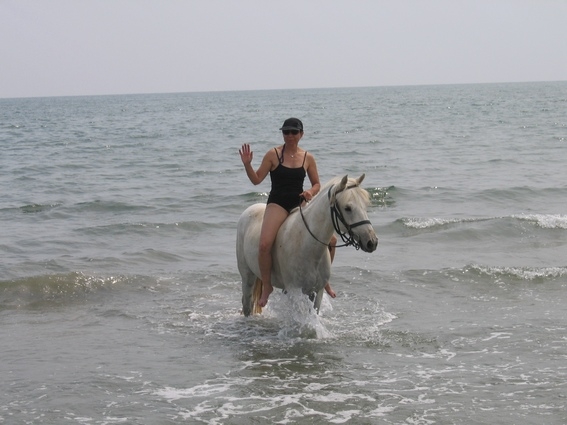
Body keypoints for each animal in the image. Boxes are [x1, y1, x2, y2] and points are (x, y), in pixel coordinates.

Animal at [237, 172, 380, 314]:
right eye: (348, 208)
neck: (308, 246)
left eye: (365, 205)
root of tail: (250, 209)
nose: (372, 242)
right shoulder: (295, 292)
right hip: (247, 276)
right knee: (247, 303)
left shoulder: (316, 291)